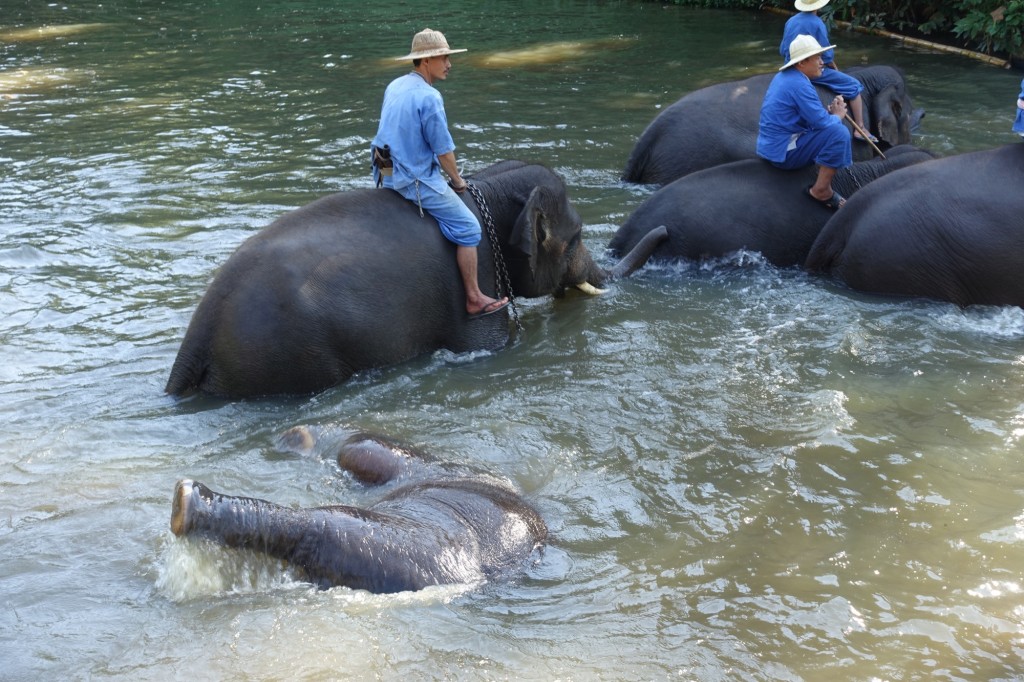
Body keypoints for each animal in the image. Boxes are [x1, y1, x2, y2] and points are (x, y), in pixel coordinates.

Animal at [163, 160, 667, 399]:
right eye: (576, 236)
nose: (664, 233)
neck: (487, 188)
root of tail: (200, 332)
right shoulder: (476, 290)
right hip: (293, 355)